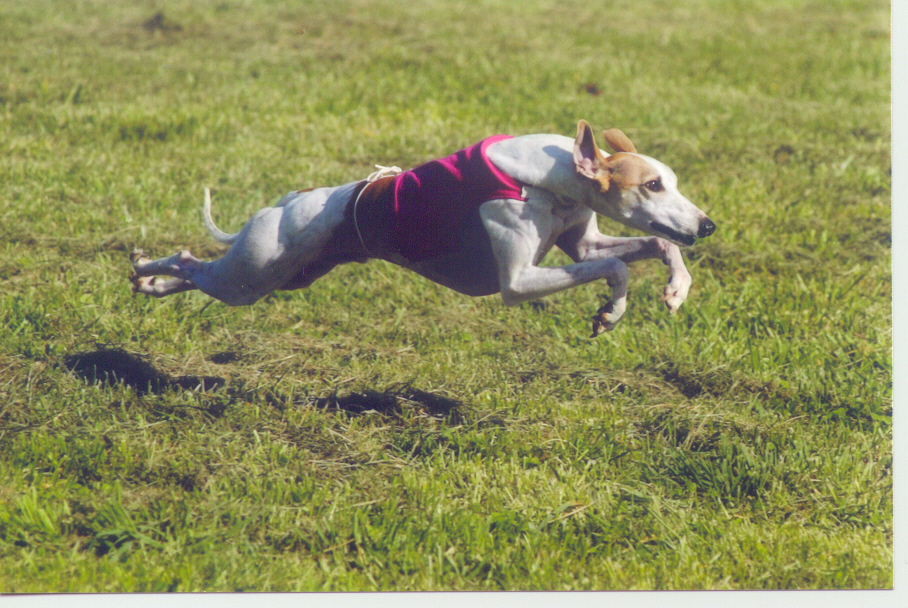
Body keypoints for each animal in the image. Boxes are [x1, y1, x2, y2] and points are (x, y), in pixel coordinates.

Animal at [131, 120, 712, 334]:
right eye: (652, 185)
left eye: (672, 181)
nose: (707, 225)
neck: (553, 178)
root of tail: (285, 202)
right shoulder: (518, 280)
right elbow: (616, 266)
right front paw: (613, 310)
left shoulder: (583, 241)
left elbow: (653, 245)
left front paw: (676, 289)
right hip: (252, 272)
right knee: (189, 259)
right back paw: (143, 266)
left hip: (280, 278)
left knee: (197, 273)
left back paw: (152, 284)